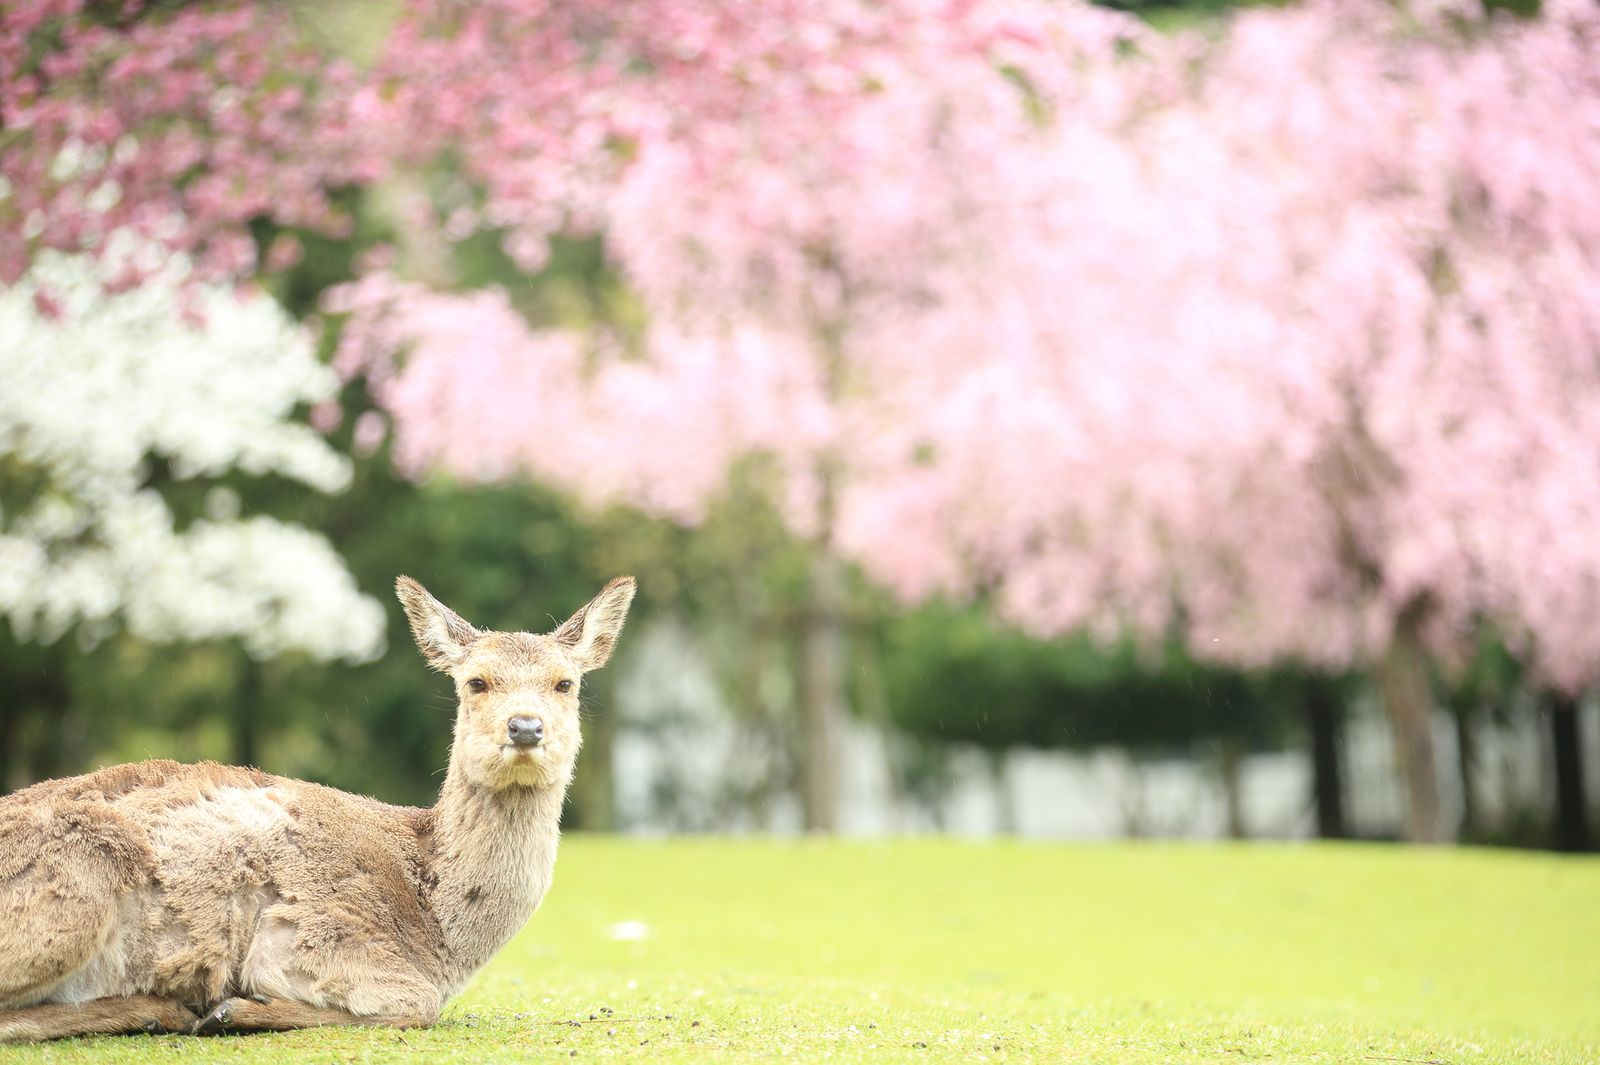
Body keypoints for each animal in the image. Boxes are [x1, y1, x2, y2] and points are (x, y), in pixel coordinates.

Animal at [0, 572, 636, 1036]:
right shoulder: (316, 932)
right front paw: (231, 1008)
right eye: (475, 682)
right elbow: (416, 1004)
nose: (525, 727)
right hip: (80, 886)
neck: (440, 936)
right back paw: (173, 1010)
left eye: (565, 683)